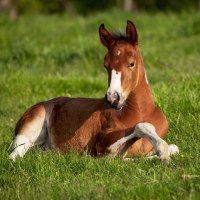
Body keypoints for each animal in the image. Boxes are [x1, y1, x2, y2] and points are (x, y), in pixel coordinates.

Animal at [9, 20, 179, 161]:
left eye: (131, 63)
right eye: (106, 65)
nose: (113, 98)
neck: (141, 112)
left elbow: (174, 148)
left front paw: (161, 153)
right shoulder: (101, 146)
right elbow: (140, 128)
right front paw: (162, 151)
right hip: (28, 129)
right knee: (14, 155)